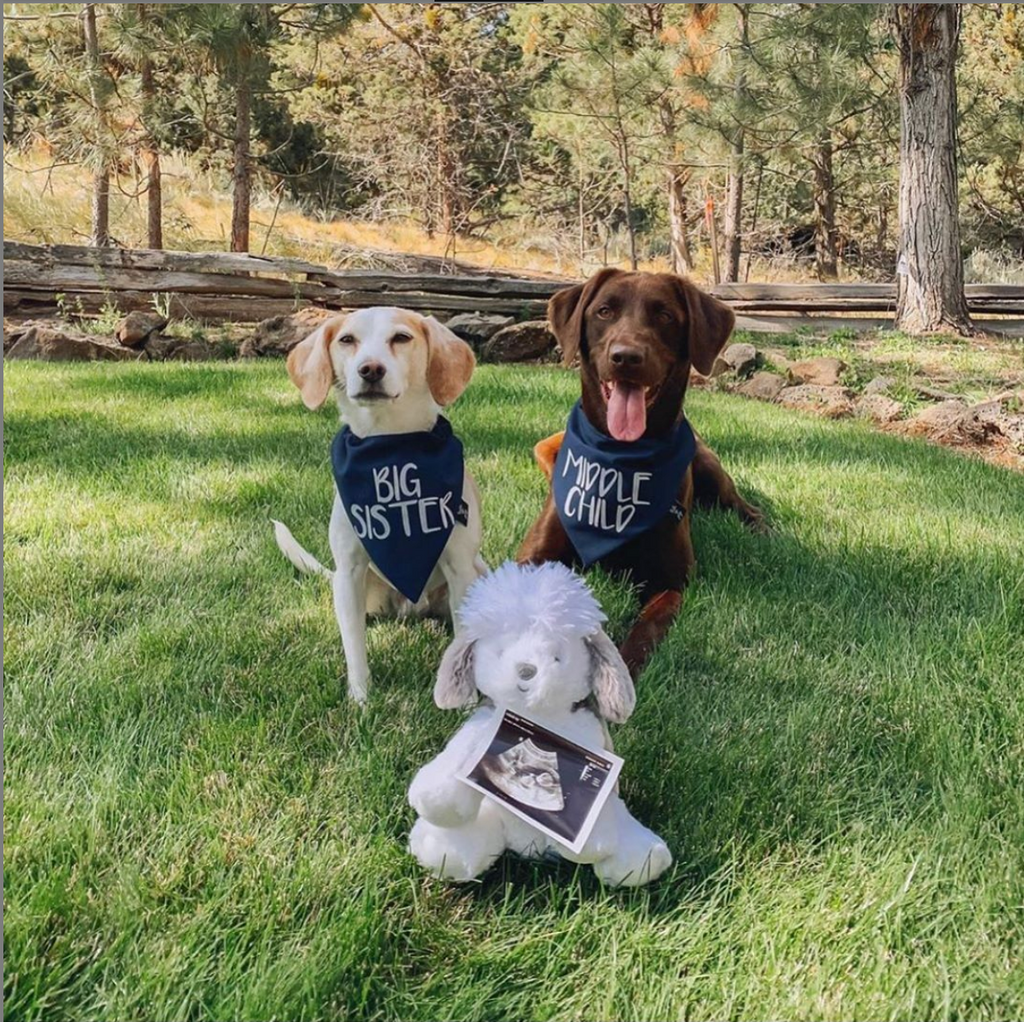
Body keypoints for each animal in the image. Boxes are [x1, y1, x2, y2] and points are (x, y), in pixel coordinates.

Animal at [274, 305, 485, 704]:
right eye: (347, 340)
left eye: (401, 338)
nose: (370, 369)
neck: (389, 448)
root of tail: (412, 607)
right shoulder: (349, 571)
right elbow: (354, 646)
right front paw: (360, 698)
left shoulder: (460, 568)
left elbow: (465, 643)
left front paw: (464, 701)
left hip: (479, 573)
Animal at [407, 561, 671, 888]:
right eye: (500, 652)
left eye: (557, 656)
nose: (526, 670)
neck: (538, 717)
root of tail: (528, 851)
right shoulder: (480, 729)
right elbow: (453, 769)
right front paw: (433, 798)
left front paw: (589, 839)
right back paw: (443, 851)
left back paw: (643, 860)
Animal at [520, 268, 761, 675]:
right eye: (604, 311)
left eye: (664, 315)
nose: (626, 357)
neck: (621, 461)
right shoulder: (531, 558)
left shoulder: (670, 584)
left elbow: (644, 632)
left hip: (710, 468)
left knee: (743, 504)